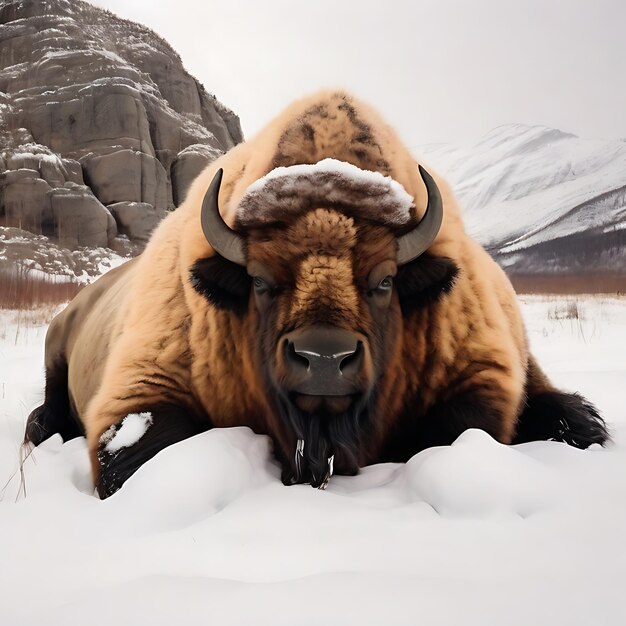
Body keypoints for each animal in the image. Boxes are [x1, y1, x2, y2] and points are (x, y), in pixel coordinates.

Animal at [23, 89, 604, 498]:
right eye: (260, 280)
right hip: (55, 353)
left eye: (384, 281)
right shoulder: (144, 386)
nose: (324, 360)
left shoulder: (480, 375)